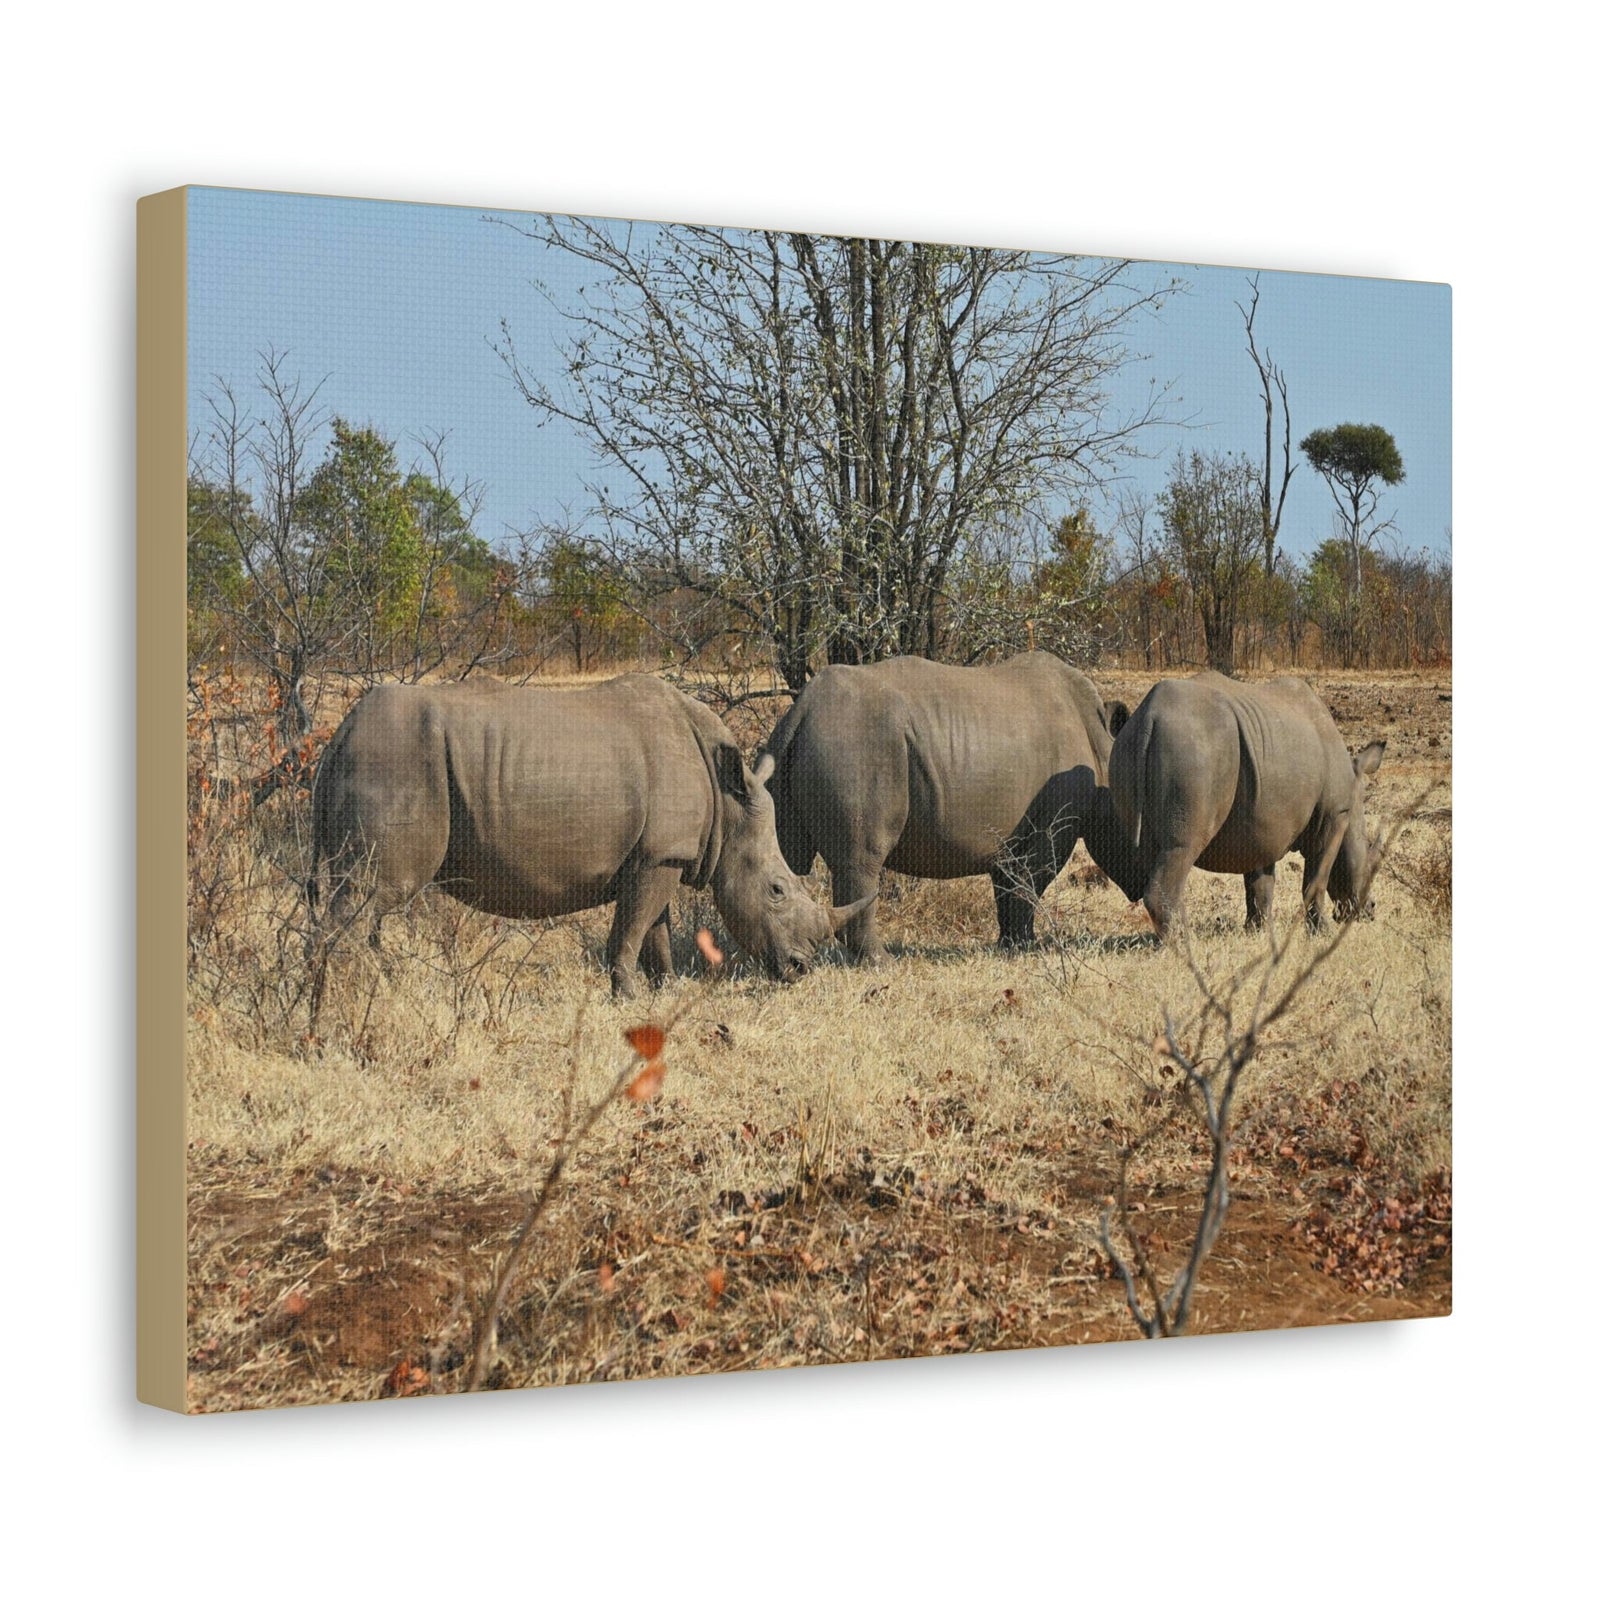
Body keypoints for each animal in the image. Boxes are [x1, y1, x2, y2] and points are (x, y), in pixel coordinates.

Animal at [309, 675, 870, 997]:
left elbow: (655, 930)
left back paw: (376, 990)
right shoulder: (660, 856)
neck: (729, 805)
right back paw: (352, 1003)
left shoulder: (661, 854)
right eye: (777, 890)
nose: (800, 969)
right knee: (374, 895)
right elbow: (630, 931)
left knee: (363, 902)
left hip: (378, 758)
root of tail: (338, 737)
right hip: (396, 761)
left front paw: (663, 992)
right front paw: (628, 998)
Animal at [762, 652, 1143, 963]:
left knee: (784, 856)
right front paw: (1026, 948)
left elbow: (1008, 886)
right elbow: (1031, 882)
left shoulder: (1009, 835)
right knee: (861, 861)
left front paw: (1009, 946)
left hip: (803, 745)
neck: (1103, 752)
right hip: (857, 744)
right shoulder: (1053, 825)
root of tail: (803, 708)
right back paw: (881, 962)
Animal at [1108, 671, 1385, 939]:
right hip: (1193, 749)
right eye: (1370, 859)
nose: (1370, 910)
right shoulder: (1334, 815)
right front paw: (1322, 934)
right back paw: (1184, 944)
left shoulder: (1263, 824)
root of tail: (1150, 716)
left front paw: (1258, 932)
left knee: (1153, 852)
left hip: (1128, 748)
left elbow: (1260, 882)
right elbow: (1316, 878)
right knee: (1182, 847)